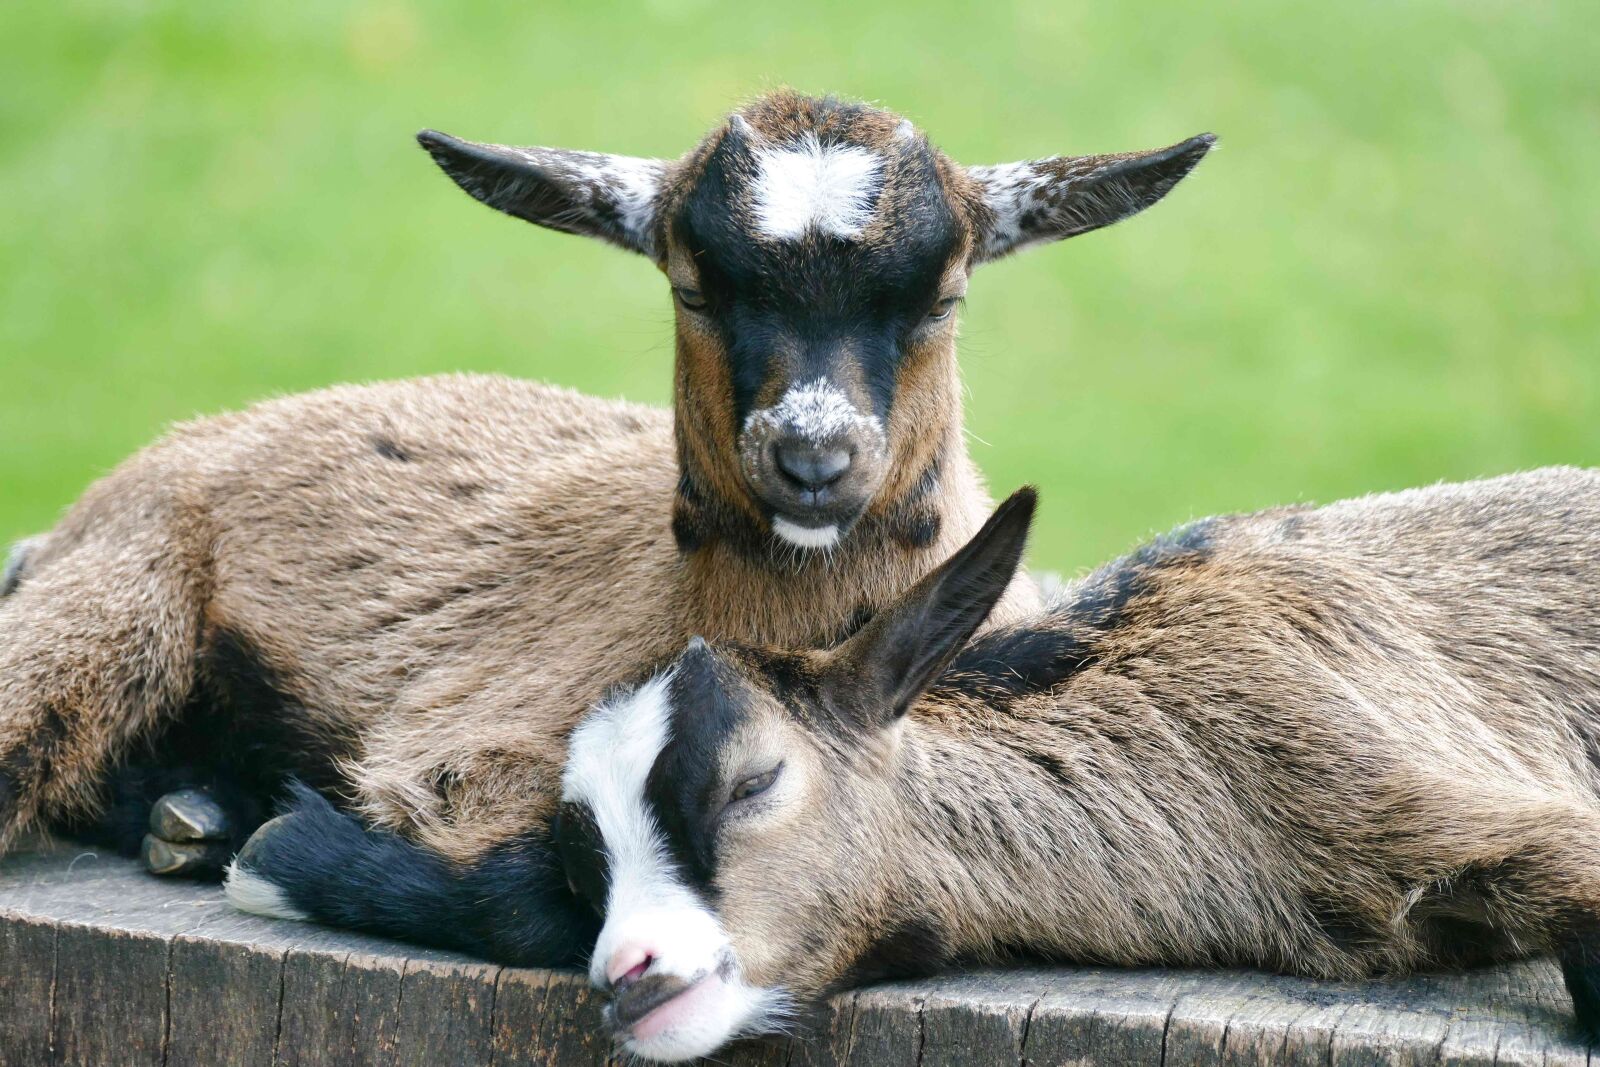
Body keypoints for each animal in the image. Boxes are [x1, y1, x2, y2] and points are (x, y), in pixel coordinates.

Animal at [0, 92, 1211, 897]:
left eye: (944, 293)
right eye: (691, 285)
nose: (811, 458)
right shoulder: (461, 756)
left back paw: (195, 811)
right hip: (114, 595)